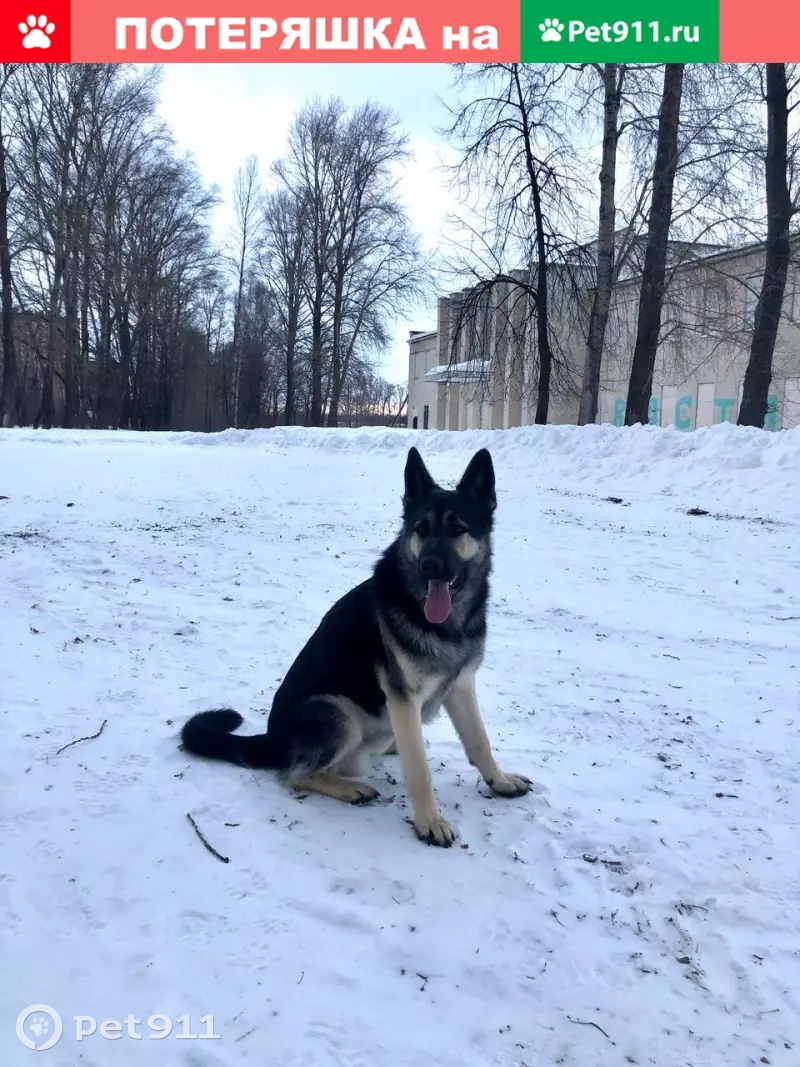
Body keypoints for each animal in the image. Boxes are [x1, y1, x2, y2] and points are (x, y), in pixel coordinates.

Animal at [180, 446, 531, 847]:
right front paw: (429, 821)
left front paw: (499, 782)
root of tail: (272, 740)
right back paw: (350, 788)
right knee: (292, 774)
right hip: (338, 712)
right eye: (420, 529)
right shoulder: (402, 697)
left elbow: (479, 741)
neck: (446, 624)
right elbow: (419, 769)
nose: (429, 566)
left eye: (457, 529)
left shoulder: (460, 687)